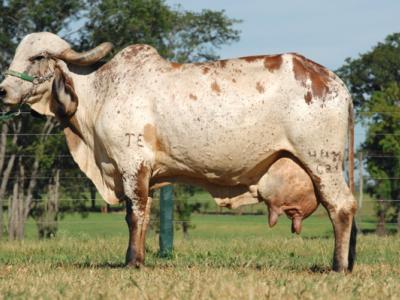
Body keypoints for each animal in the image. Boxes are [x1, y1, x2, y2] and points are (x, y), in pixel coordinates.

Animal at [0, 32, 356, 272]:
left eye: (36, 57)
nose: (2, 91)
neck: (101, 92)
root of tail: (333, 81)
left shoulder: (132, 164)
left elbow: (135, 214)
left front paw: (132, 261)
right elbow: (143, 215)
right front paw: (138, 259)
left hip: (322, 161)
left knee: (341, 206)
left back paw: (338, 265)